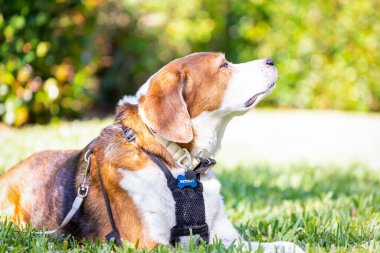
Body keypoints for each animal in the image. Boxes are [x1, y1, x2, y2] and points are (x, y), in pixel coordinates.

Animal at [0, 52, 302, 252]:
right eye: (224, 65)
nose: (271, 61)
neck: (178, 164)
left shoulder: (225, 236)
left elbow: (282, 245)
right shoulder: (147, 242)